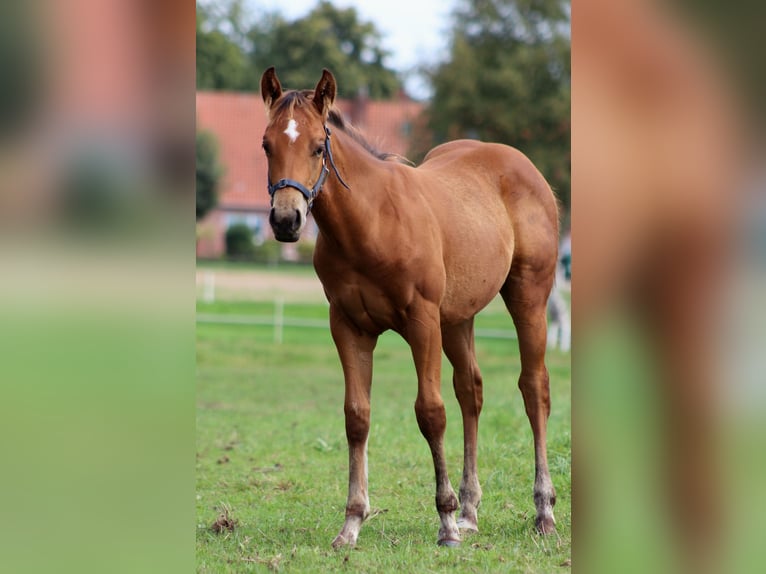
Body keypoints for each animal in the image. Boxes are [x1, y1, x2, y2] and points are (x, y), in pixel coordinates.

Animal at [260, 66, 560, 548]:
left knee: (534, 389)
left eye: (318, 145)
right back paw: (471, 510)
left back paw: (543, 511)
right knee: (471, 391)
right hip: (458, 317)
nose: (286, 220)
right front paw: (352, 522)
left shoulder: (422, 322)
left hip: (528, 296)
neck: (372, 223)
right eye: (267, 144)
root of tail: (522, 163)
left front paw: (445, 523)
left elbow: (430, 413)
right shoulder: (348, 326)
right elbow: (357, 416)